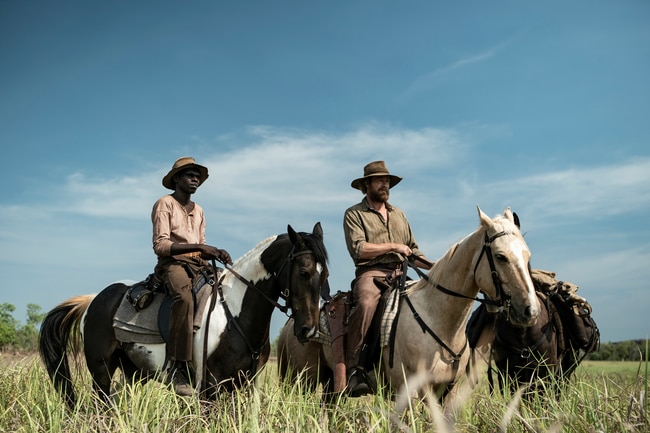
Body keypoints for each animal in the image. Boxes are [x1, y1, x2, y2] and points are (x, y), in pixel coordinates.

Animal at [38, 221, 326, 406]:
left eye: (325, 275)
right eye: (304, 272)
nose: (308, 329)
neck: (234, 314)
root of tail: (93, 300)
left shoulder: (244, 384)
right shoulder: (210, 385)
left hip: (133, 372)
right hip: (101, 371)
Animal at [278, 208, 536, 400]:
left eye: (527, 256)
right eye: (501, 256)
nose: (529, 311)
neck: (439, 320)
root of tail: (293, 324)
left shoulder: (447, 393)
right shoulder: (411, 393)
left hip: (331, 385)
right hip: (303, 381)